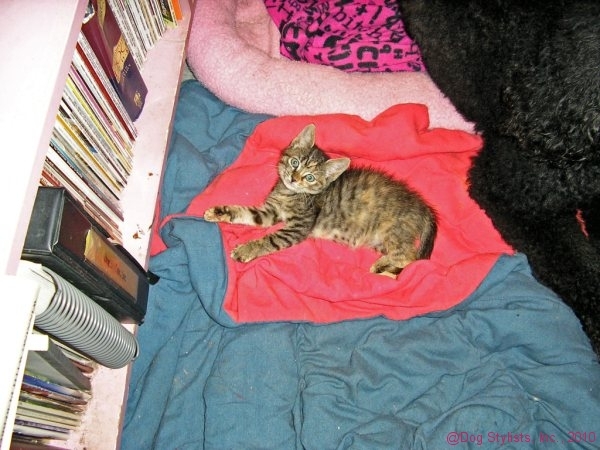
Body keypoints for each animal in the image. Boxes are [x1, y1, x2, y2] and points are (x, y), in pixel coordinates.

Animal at [204, 124, 437, 278]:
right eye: (295, 162)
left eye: (309, 178)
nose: (293, 178)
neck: (290, 193)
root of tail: (421, 205)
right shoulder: (269, 213)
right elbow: (246, 213)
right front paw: (220, 212)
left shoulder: (297, 227)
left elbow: (270, 240)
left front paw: (246, 250)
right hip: (380, 240)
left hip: (393, 233)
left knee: (412, 257)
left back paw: (381, 268)